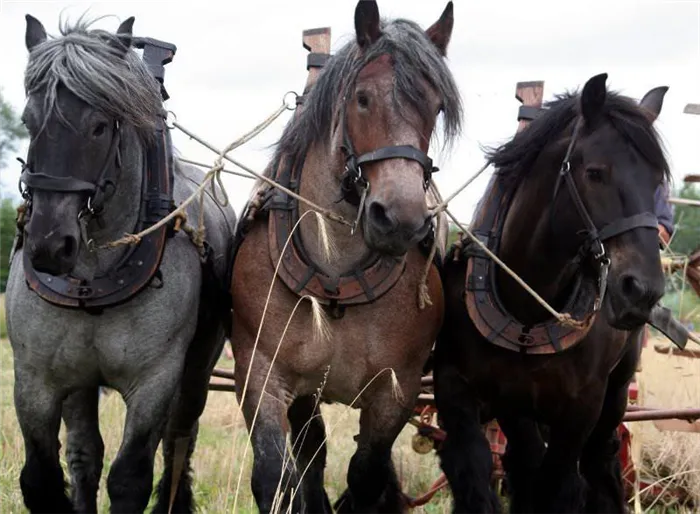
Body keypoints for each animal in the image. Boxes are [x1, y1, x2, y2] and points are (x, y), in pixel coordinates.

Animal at [4, 13, 237, 512]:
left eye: (99, 126)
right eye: (29, 120)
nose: (49, 245)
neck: (92, 280)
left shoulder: (154, 381)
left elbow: (130, 476)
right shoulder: (36, 378)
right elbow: (42, 477)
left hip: (197, 370)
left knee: (178, 441)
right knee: (84, 452)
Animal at [227, 1, 462, 512]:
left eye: (435, 106)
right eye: (362, 98)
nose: (400, 219)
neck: (337, 278)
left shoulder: (396, 392)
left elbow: (366, 476)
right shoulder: (261, 375)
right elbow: (276, 476)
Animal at [434, 74, 668, 510]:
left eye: (657, 181)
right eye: (594, 173)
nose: (642, 291)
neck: (527, 308)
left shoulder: (581, 409)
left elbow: (559, 483)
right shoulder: (460, 387)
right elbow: (475, 469)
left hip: (615, 392)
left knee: (599, 461)